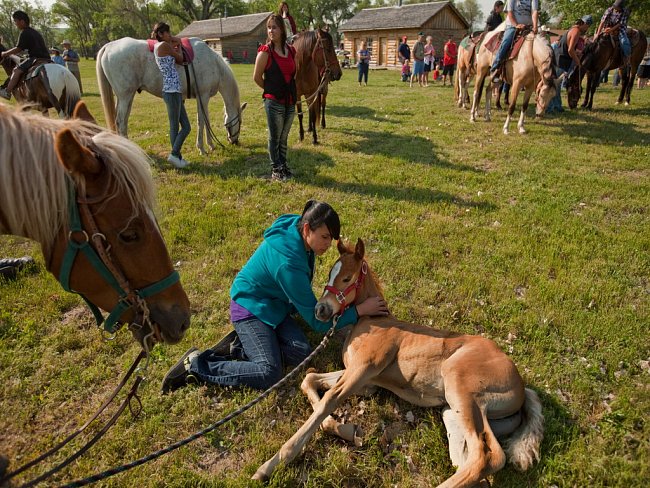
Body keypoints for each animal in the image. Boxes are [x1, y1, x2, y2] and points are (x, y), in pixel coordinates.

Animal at [96, 37, 246, 153]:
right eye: (239, 122)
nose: (234, 141)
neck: (214, 64)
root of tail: (109, 46)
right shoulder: (202, 96)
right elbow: (202, 121)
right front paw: (202, 148)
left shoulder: (204, 98)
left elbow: (206, 120)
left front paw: (211, 145)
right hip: (125, 96)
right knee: (120, 121)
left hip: (126, 97)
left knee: (122, 120)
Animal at [253, 238, 540, 486]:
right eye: (329, 275)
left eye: (346, 278)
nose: (320, 310)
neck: (373, 321)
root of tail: (521, 384)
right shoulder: (364, 380)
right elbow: (310, 379)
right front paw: (341, 428)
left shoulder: (364, 368)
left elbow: (328, 401)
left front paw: (271, 465)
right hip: (456, 412)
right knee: (470, 462)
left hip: (463, 391)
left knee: (489, 456)